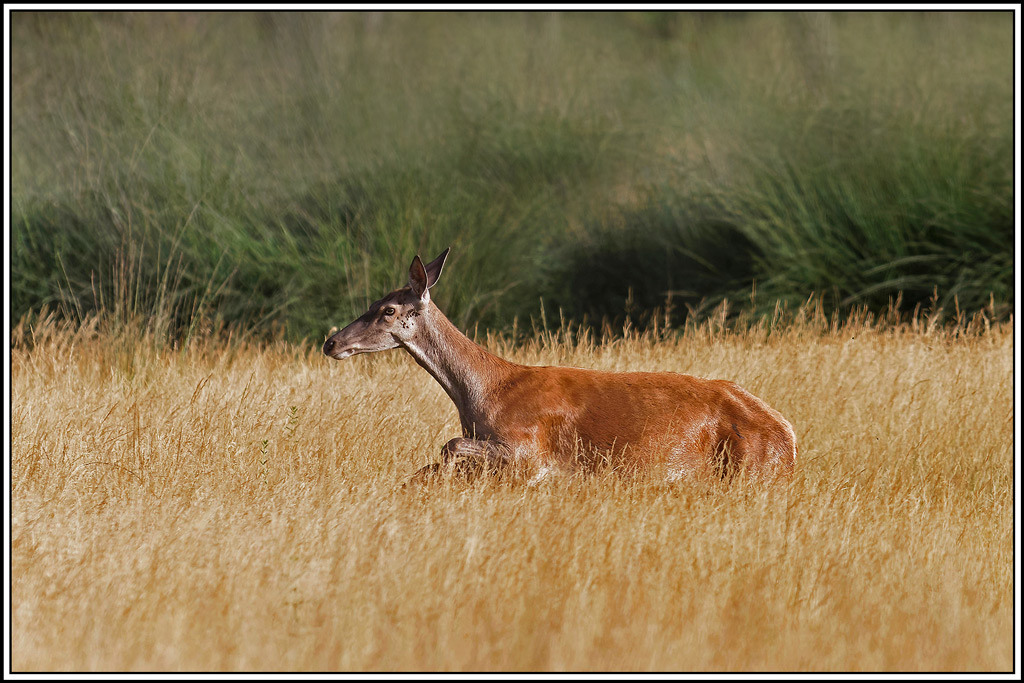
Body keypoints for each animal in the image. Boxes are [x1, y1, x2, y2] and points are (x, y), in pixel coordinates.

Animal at [322, 248, 797, 485]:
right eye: (371, 301)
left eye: (386, 310)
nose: (331, 342)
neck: (483, 394)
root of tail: (789, 439)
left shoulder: (529, 450)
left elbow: (448, 446)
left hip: (751, 470)